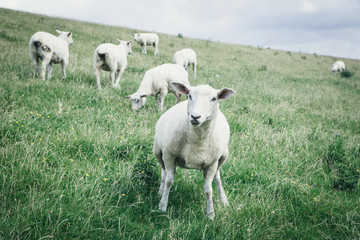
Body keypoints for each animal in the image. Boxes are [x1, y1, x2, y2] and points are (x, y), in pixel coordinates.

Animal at [153, 81, 235, 219]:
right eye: (190, 96)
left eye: (214, 98)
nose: (195, 116)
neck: (197, 140)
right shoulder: (169, 154)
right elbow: (169, 181)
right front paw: (162, 206)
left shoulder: (212, 163)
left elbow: (208, 189)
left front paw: (211, 214)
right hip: (158, 151)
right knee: (164, 173)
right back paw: (160, 192)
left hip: (223, 156)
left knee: (217, 177)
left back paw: (224, 200)